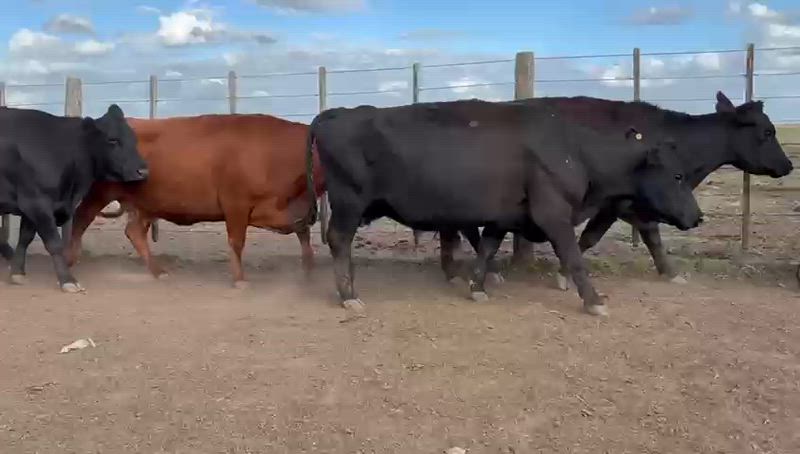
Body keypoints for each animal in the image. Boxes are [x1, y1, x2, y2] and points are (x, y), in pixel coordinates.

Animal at [0, 104, 149, 292]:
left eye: (134, 140)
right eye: (112, 140)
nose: (143, 171)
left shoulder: (31, 207)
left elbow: (25, 238)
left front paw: (17, 273)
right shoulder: (37, 203)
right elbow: (54, 243)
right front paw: (68, 280)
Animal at [64, 114, 326, 288]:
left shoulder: (286, 209)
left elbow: (303, 236)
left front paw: (308, 272)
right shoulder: (236, 203)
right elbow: (236, 241)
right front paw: (240, 280)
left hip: (146, 203)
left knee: (134, 232)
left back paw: (158, 272)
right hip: (100, 193)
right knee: (80, 219)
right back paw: (70, 259)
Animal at [306, 98, 703, 317]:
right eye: (678, 175)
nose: (698, 217)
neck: (574, 150)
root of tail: (336, 113)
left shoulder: (504, 214)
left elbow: (487, 248)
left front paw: (477, 286)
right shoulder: (553, 214)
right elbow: (575, 257)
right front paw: (594, 301)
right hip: (349, 202)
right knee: (338, 240)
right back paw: (349, 295)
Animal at [435, 92, 793, 291]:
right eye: (767, 131)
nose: (789, 165)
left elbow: (641, 238)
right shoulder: (620, 203)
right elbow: (598, 238)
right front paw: (565, 275)